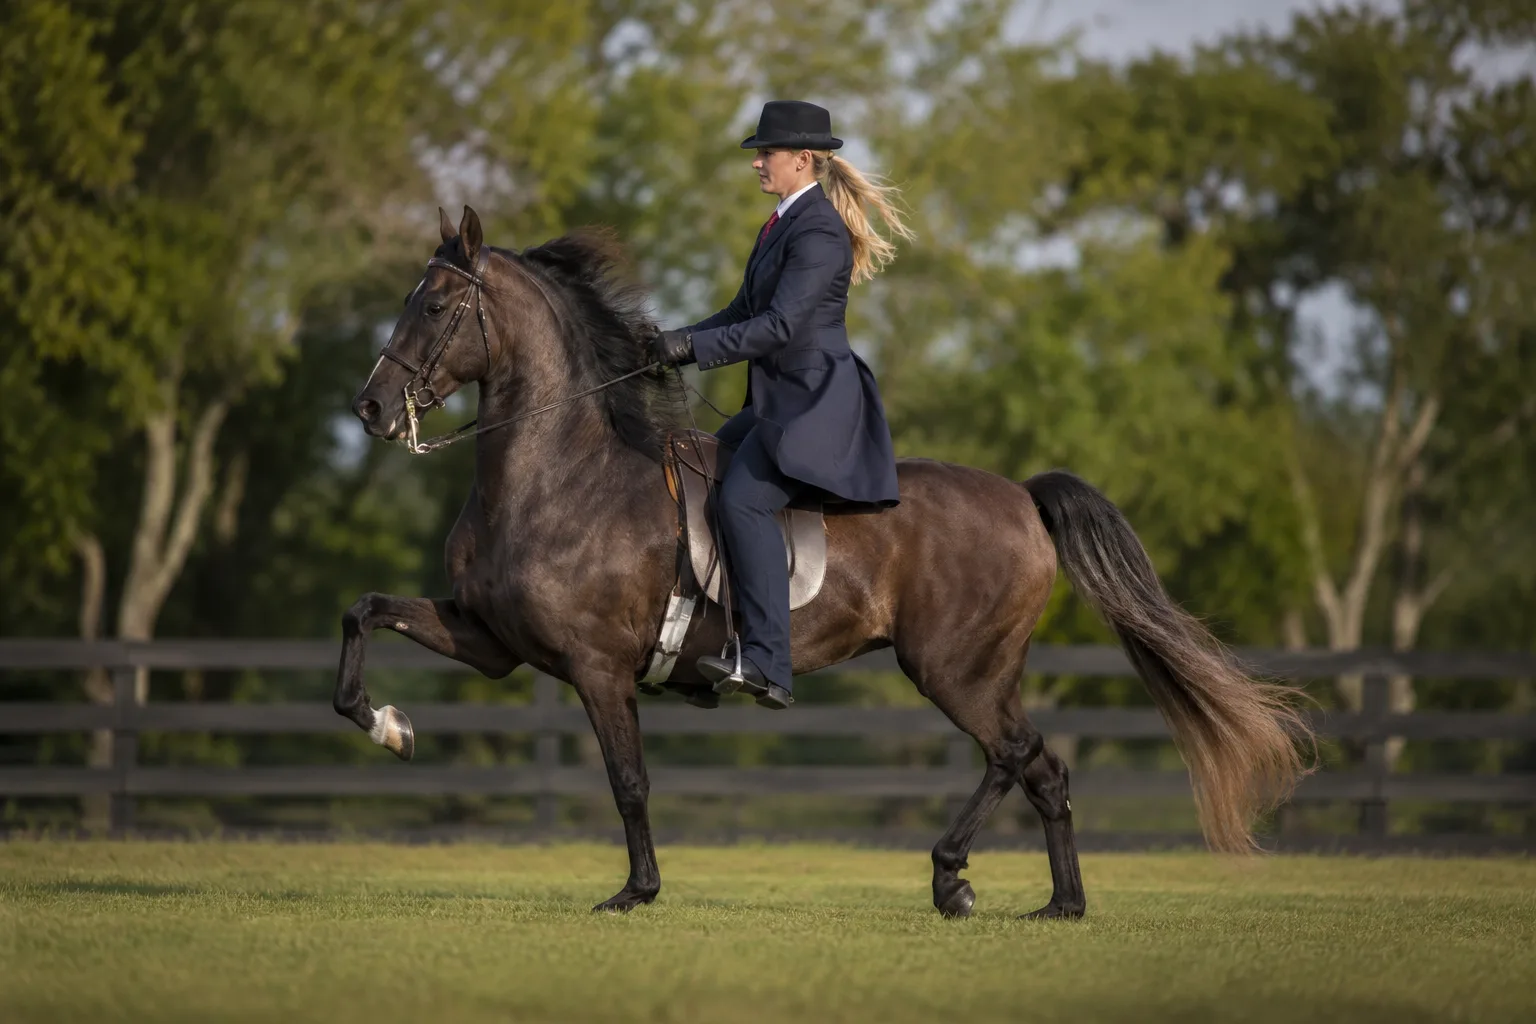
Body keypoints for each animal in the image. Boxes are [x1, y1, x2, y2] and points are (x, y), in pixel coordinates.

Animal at [339, 205, 1311, 916]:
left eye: (434, 305)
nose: (371, 408)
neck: (560, 475)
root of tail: (1021, 498)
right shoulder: (491, 641)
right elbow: (364, 612)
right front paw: (391, 726)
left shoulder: (597, 666)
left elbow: (629, 782)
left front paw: (635, 892)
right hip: (983, 672)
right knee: (1045, 770)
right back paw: (1058, 906)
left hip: (954, 667)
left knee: (1014, 755)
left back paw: (950, 876)